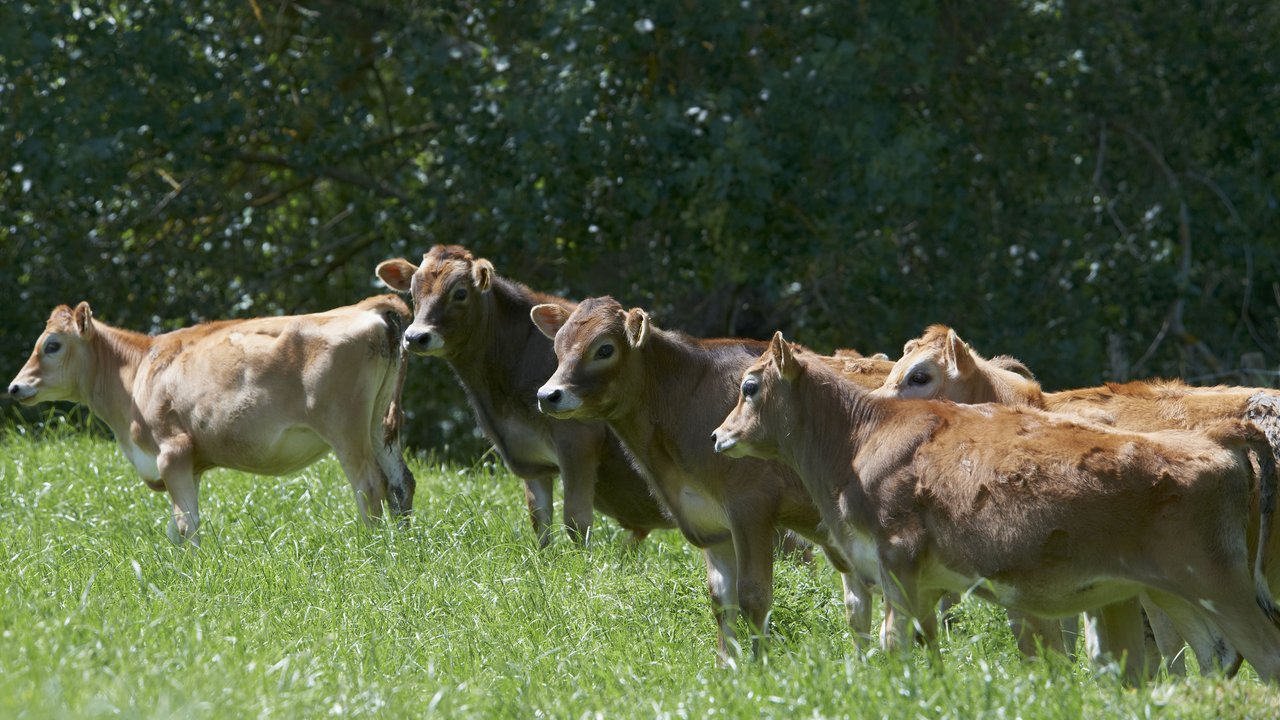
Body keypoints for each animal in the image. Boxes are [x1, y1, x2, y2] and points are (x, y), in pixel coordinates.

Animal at [7, 294, 417, 540]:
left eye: (52, 345)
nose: (14, 387)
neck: (136, 372)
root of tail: (368, 306)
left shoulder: (171, 451)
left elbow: (186, 524)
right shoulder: (191, 463)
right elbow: (177, 527)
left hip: (346, 429)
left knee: (369, 486)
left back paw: (369, 547)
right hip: (380, 425)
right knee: (401, 483)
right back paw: (401, 545)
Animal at [371, 245, 670, 543]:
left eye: (460, 293)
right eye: (413, 292)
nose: (415, 337)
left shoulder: (579, 440)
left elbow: (576, 521)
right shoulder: (530, 459)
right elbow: (540, 520)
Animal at [529, 294, 880, 661]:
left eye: (604, 349)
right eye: (558, 344)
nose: (547, 395)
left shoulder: (751, 508)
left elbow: (754, 595)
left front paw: (759, 664)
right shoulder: (712, 523)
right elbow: (721, 600)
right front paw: (728, 664)